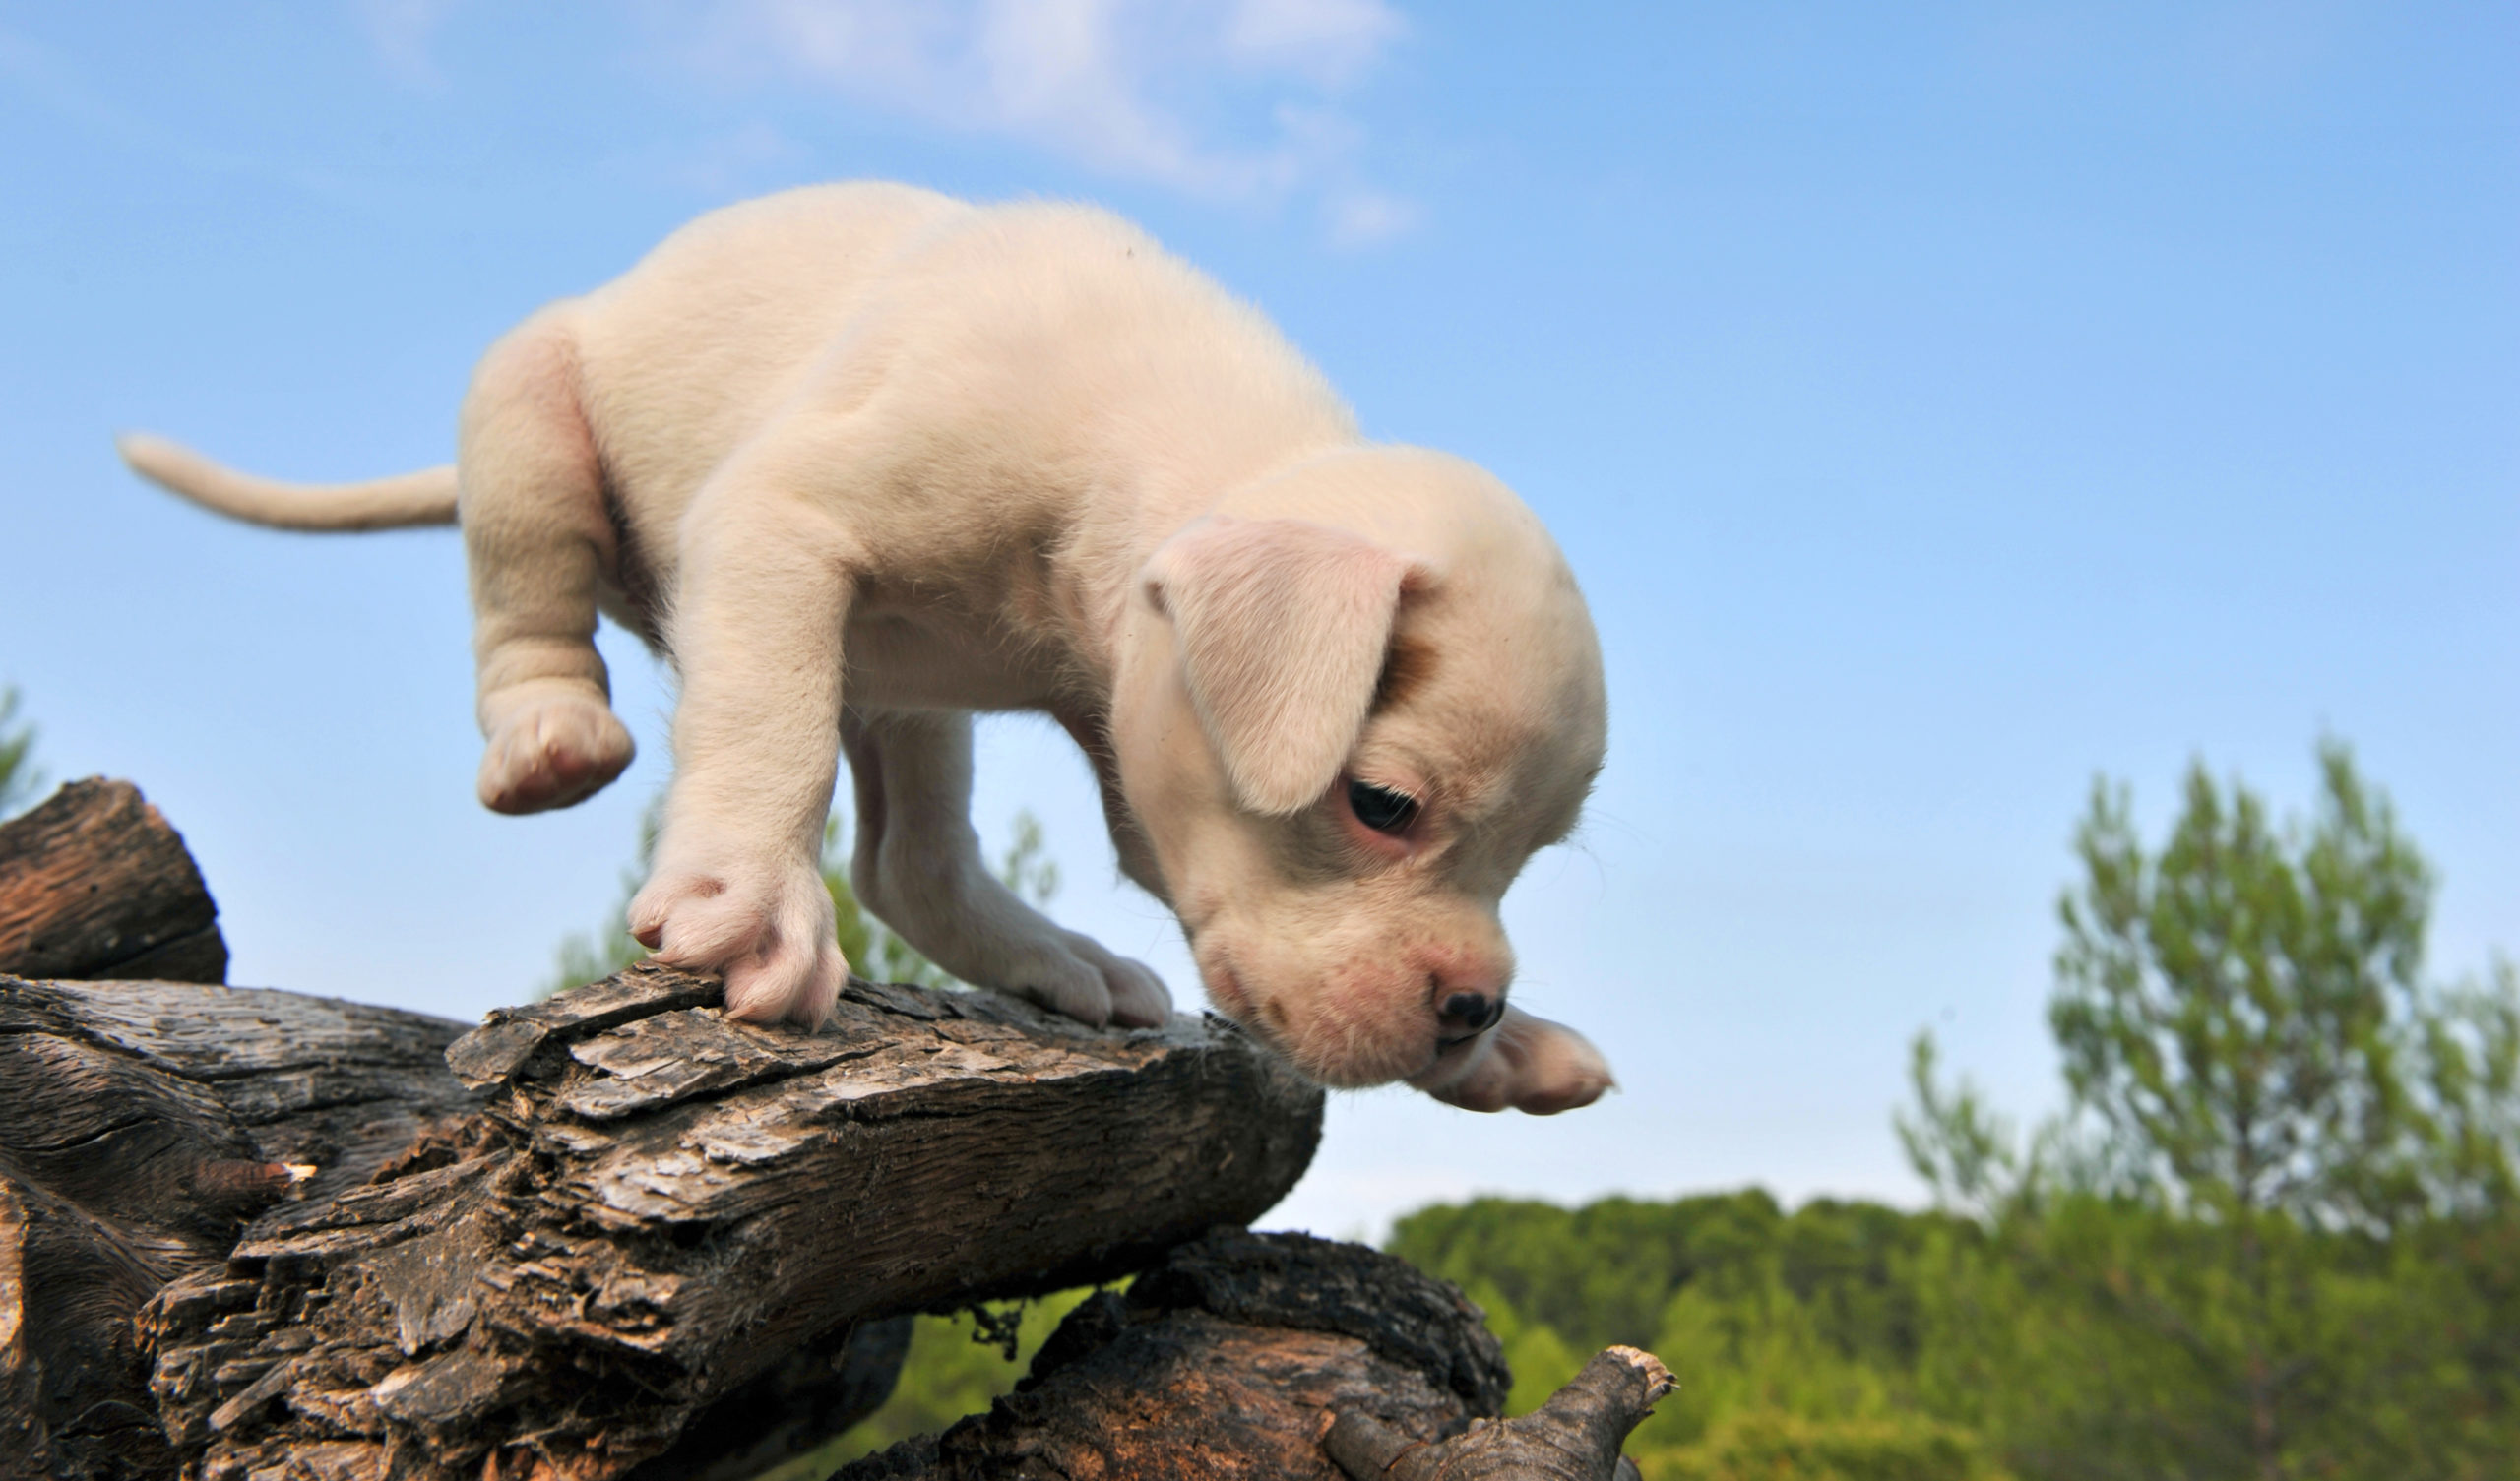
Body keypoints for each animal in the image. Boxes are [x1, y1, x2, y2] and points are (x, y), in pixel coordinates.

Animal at [122, 182, 1612, 1108]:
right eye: (1382, 803)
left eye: (1527, 858)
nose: (1474, 1008)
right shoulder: (779, 524)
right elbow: (769, 727)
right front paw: (750, 903)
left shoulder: (1132, 735)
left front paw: (1509, 1056)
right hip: (529, 408)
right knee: (527, 590)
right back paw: (550, 728)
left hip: (909, 703)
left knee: (911, 860)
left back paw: (1058, 962)